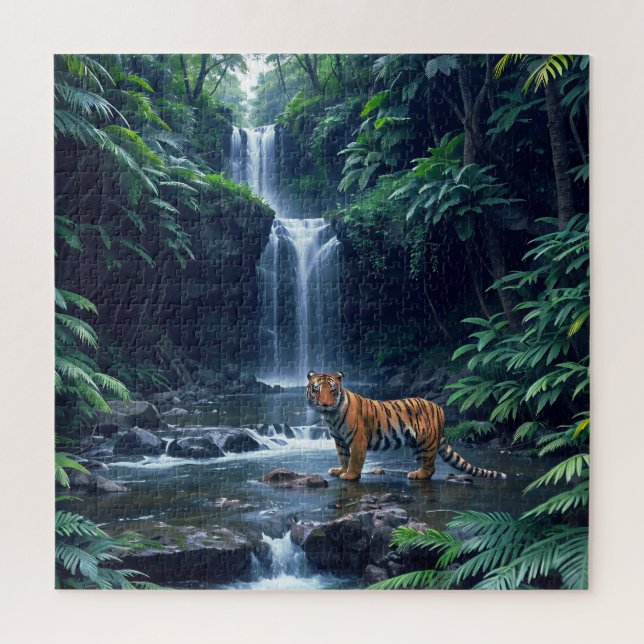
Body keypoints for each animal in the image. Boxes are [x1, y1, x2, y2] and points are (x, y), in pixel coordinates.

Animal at [306, 371, 506, 481]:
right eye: (317, 389)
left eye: (332, 390)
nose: (325, 404)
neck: (331, 415)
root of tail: (439, 408)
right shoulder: (339, 440)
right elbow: (343, 457)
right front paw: (340, 470)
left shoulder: (357, 439)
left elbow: (355, 459)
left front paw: (350, 475)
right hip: (417, 444)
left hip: (427, 442)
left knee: (430, 466)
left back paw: (417, 475)